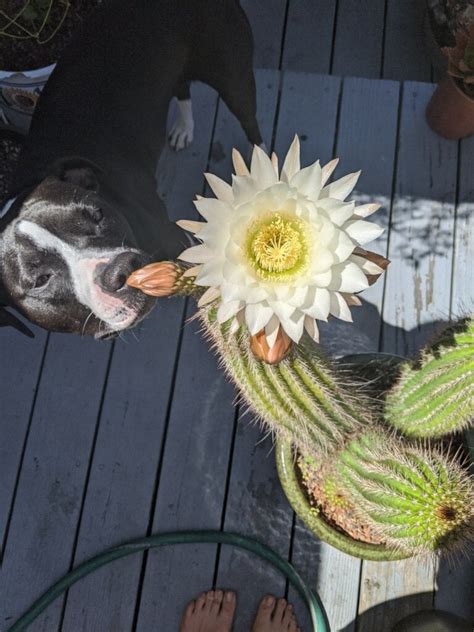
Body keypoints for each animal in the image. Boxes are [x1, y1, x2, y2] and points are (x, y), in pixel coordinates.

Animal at [0, 0, 262, 340]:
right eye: (39, 281)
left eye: (97, 215)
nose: (118, 271)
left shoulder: (177, 243)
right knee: (181, 86)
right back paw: (183, 128)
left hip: (234, 79)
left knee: (251, 125)